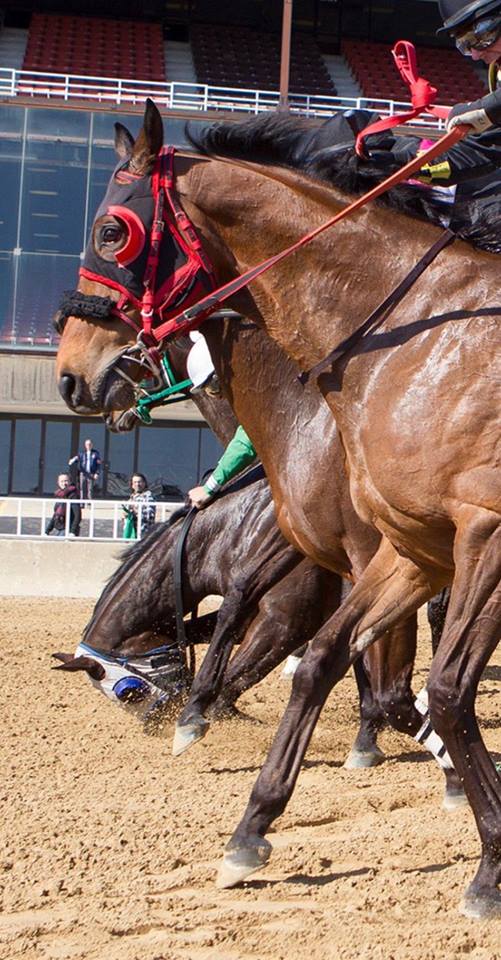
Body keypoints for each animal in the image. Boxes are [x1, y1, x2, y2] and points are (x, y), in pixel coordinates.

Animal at [53, 103, 500, 915]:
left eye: (111, 230)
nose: (70, 376)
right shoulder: (406, 546)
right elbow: (320, 658)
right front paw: (247, 820)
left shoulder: (469, 536)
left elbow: (434, 689)